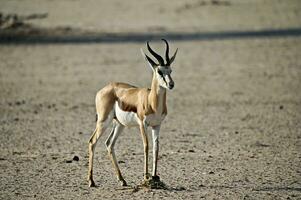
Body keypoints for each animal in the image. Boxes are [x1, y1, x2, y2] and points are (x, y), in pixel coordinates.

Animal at [87, 39, 176, 188]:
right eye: (159, 71)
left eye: (170, 70)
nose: (171, 84)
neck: (151, 100)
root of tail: (104, 89)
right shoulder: (142, 124)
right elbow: (146, 146)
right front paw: (146, 177)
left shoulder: (157, 125)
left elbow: (156, 147)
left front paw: (155, 176)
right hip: (103, 121)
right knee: (92, 142)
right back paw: (91, 181)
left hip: (119, 124)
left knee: (109, 143)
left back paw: (122, 180)